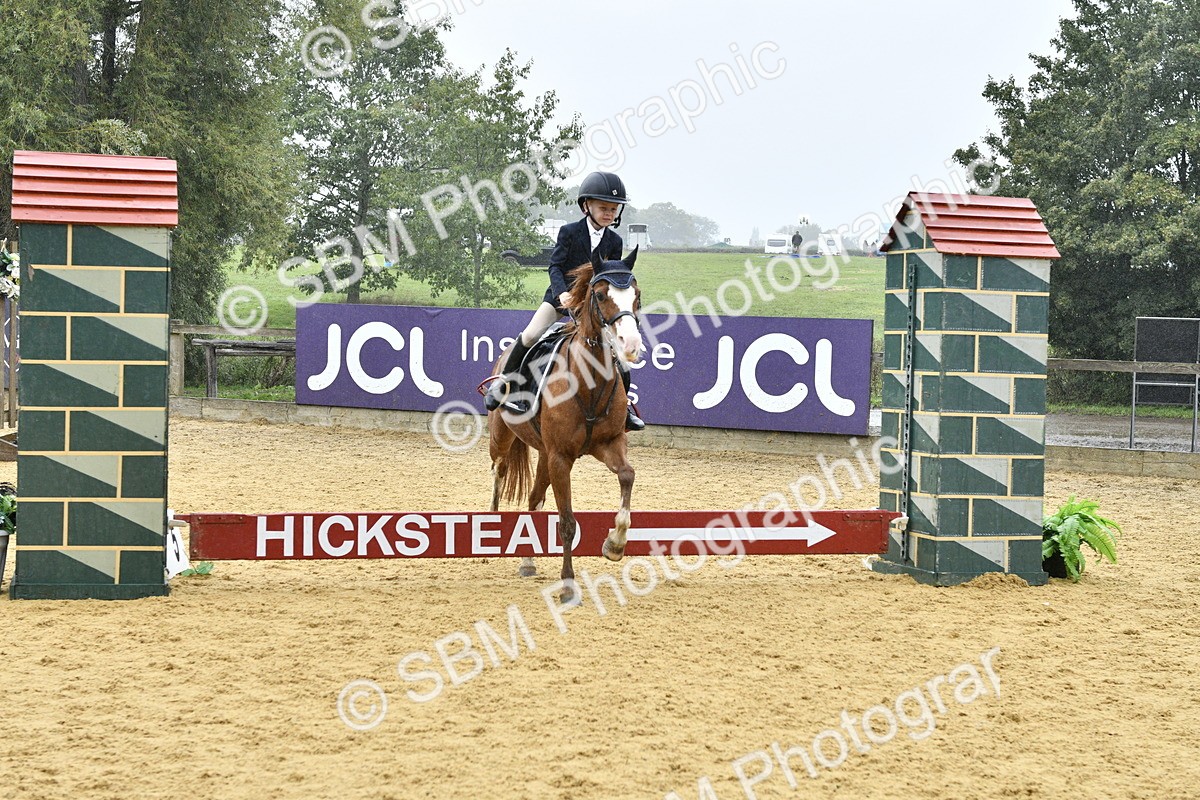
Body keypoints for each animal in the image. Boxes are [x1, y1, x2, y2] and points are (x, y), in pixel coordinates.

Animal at [486, 248, 643, 603]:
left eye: (636, 295)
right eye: (601, 295)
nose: (630, 344)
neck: (589, 383)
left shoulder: (609, 444)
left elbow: (627, 476)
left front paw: (614, 545)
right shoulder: (561, 458)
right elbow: (567, 523)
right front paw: (569, 586)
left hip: (544, 454)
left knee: (534, 499)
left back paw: (528, 561)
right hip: (502, 437)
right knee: (499, 470)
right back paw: (490, 523)